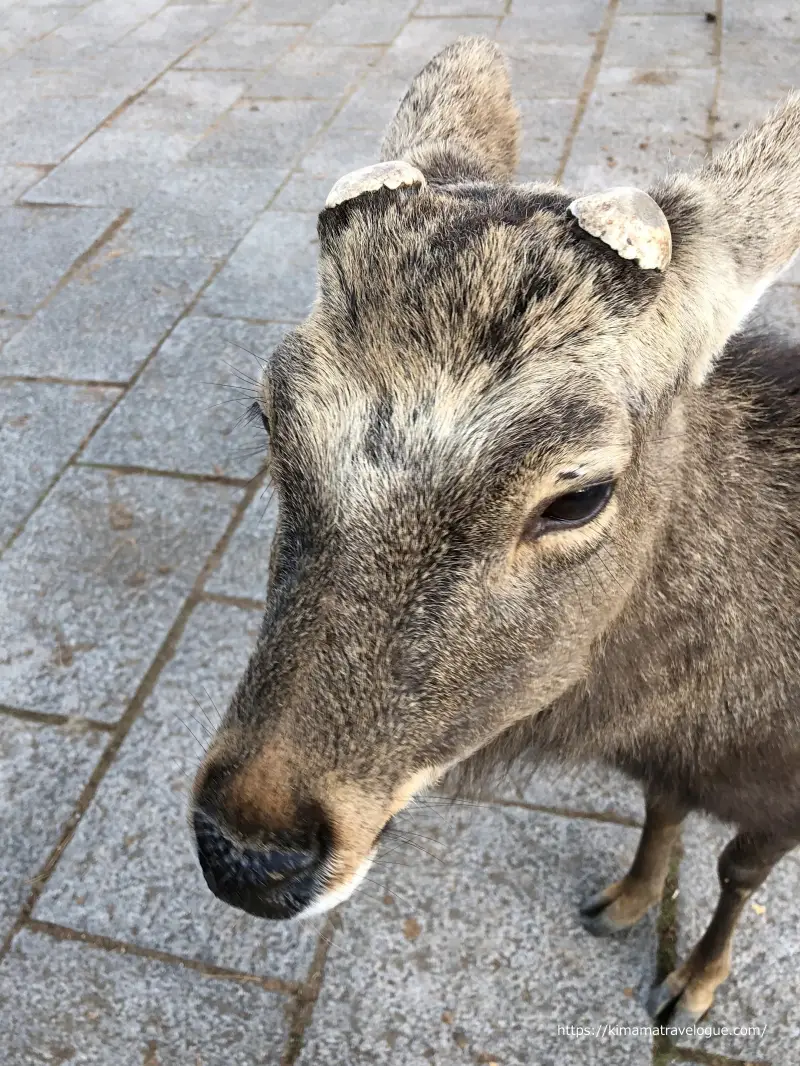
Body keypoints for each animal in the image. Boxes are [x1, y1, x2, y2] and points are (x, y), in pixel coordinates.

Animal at [189, 37, 800, 1027]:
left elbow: (737, 870)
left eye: (580, 494)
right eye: (269, 416)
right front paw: (625, 901)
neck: (705, 713)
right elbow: (662, 809)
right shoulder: (666, 764)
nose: (250, 851)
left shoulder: (784, 789)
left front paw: (691, 987)